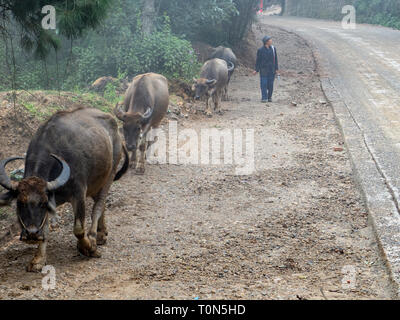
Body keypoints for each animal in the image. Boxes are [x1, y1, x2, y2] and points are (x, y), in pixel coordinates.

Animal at [0, 107, 129, 272]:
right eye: (20, 203)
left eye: (43, 203)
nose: (31, 234)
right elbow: (46, 228)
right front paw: (38, 259)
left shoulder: (79, 193)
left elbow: (78, 229)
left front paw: (88, 247)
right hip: (97, 182)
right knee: (102, 204)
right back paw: (101, 234)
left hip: (110, 174)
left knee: (99, 206)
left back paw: (93, 237)